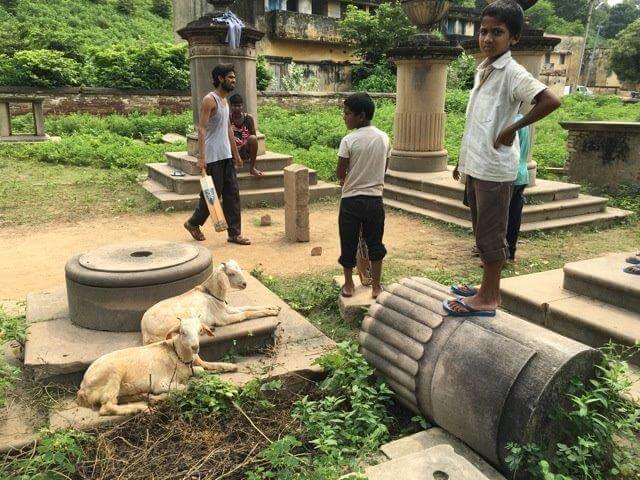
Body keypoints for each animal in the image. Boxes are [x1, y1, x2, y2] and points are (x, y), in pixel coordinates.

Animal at [75, 316, 235, 414]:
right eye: (182, 332)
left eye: (200, 331)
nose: (195, 347)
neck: (177, 354)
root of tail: (83, 388)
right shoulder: (162, 383)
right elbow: (186, 388)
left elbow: (203, 368)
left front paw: (231, 366)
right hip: (113, 374)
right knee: (107, 408)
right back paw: (141, 407)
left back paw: (144, 397)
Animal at [141, 262, 282, 344]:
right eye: (231, 273)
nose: (244, 284)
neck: (212, 294)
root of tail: (145, 330)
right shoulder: (223, 318)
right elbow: (246, 313)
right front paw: (273, 312)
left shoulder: (226, 308)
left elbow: (247, 307)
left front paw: (274, 307)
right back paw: (207, 328)